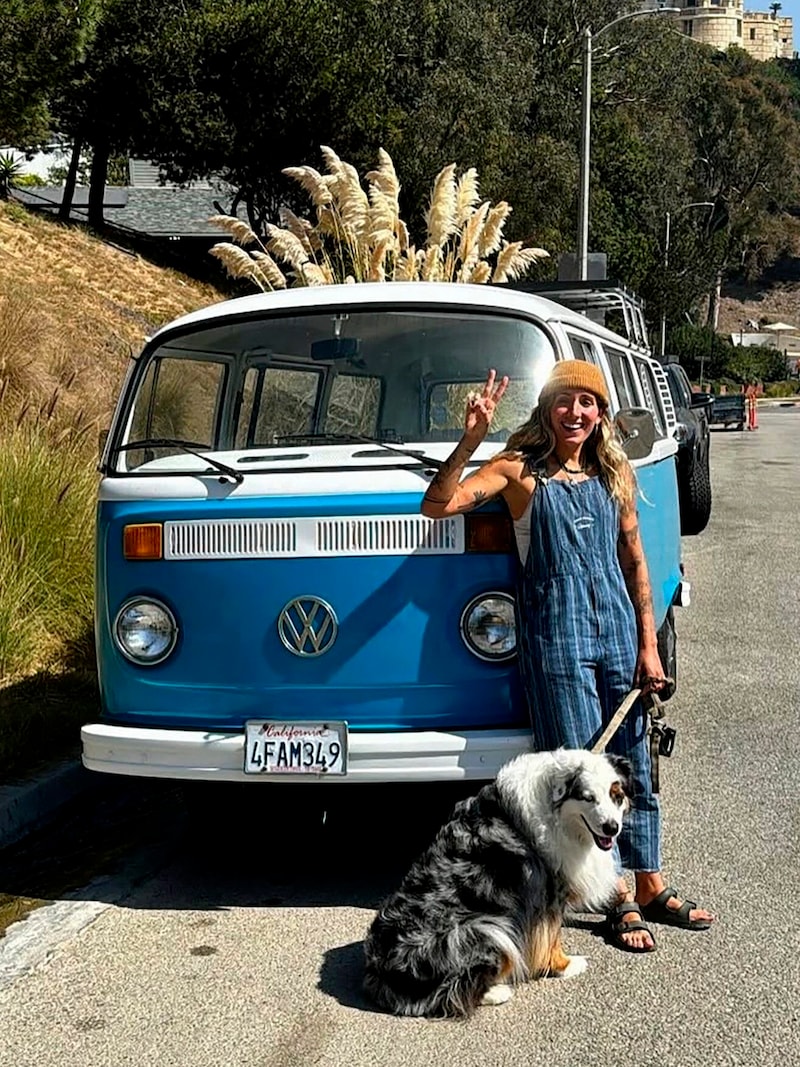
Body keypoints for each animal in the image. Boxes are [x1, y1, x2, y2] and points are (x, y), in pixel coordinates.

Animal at [362, 746, 631, 1020]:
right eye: (588, 798)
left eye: (616, 796)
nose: (612, 827)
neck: (555, 811)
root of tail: (380, 974)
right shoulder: (549, 894)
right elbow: (553, 937)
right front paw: (566, 965)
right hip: (485, 930)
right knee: (453, 993)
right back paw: (497, 992)